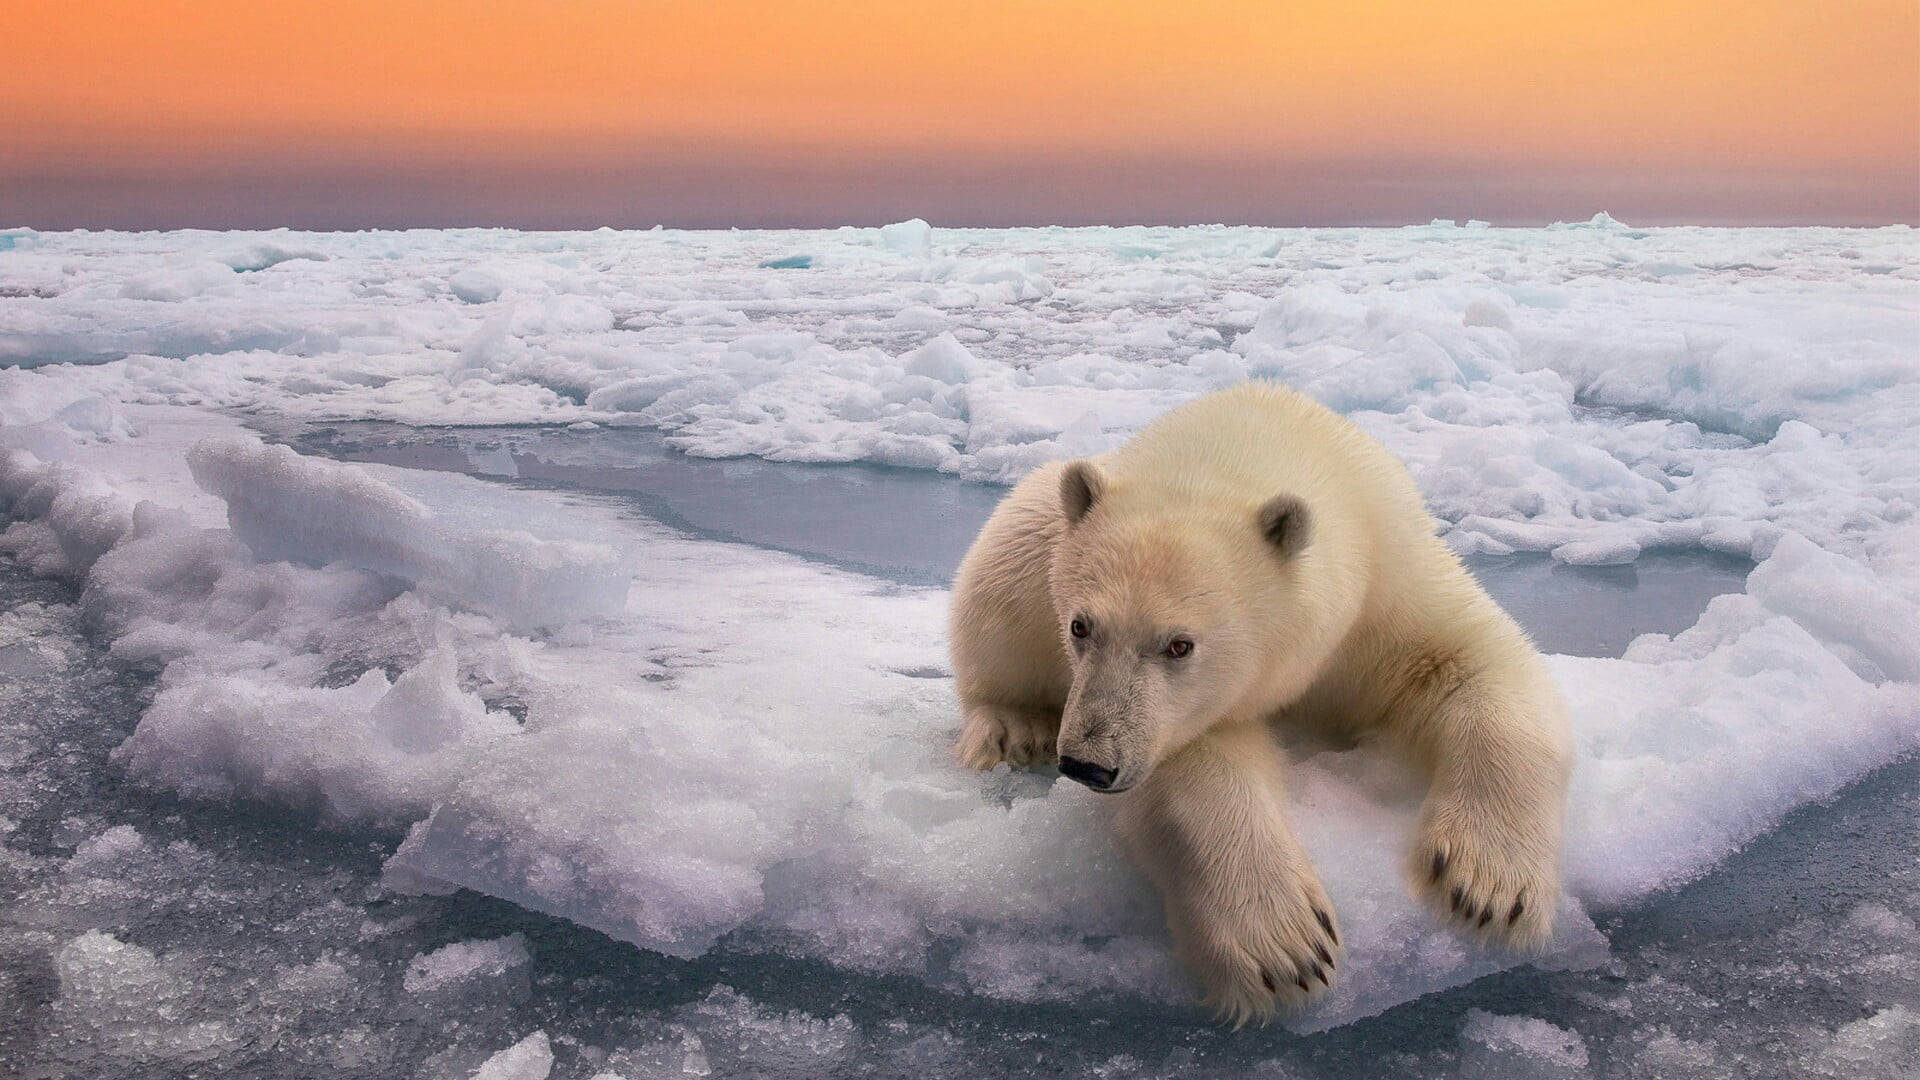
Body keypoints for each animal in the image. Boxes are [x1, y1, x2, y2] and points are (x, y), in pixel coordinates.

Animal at [948, 382, 1574, 1022]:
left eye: (1179, 644)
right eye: (1080, 626)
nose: (1087, 763)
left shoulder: (1390, 582)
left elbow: (1472, 664)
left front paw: (1486, 884)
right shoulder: (1187, 709)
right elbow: (1198, 762)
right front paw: (1285, 943)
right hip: (1036, 541)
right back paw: (1013, 727)